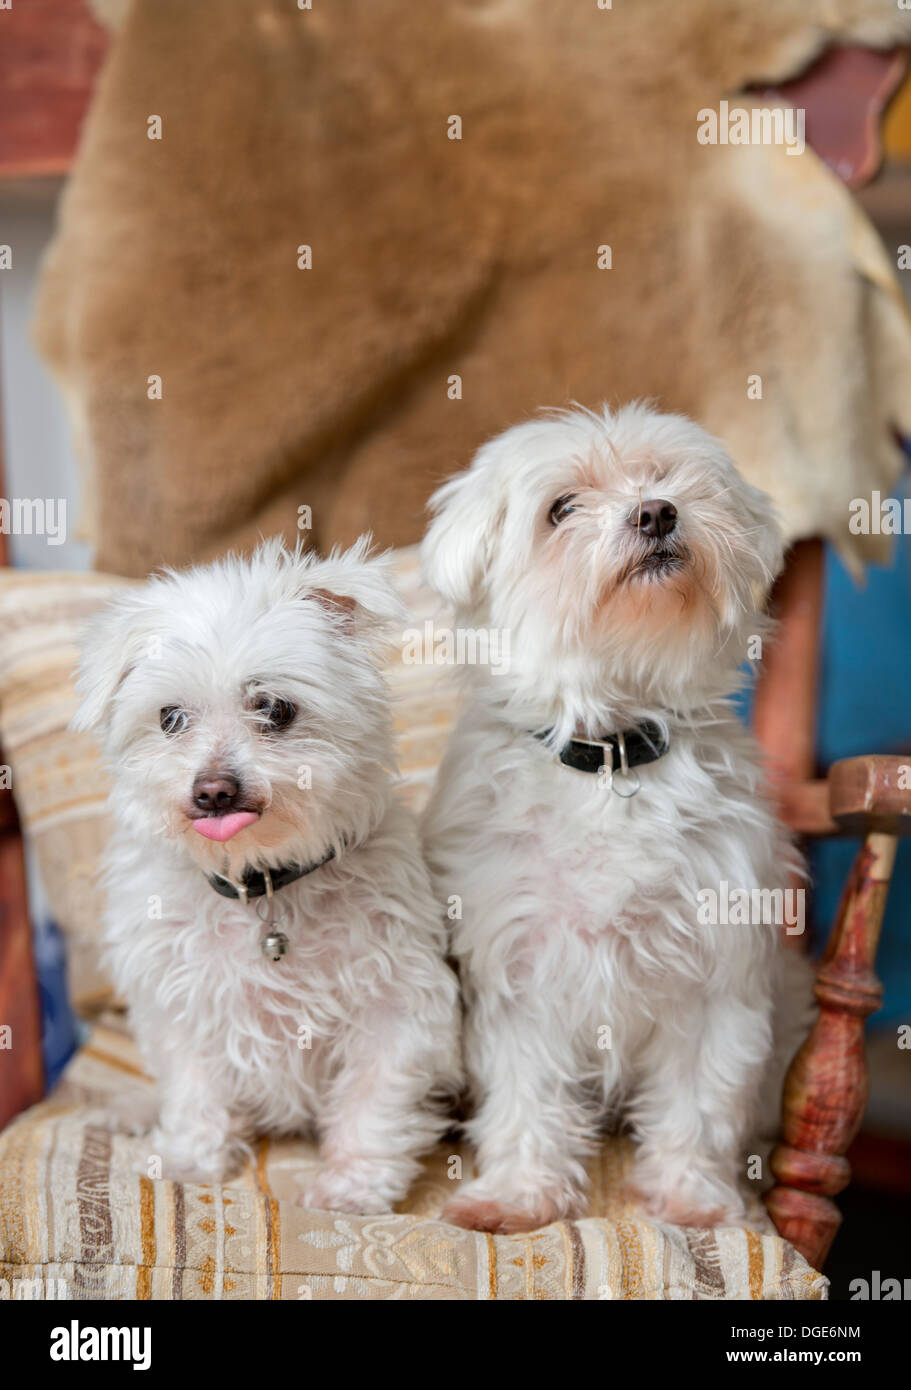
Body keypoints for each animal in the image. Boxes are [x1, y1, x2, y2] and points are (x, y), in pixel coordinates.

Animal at [74, 536, 464, 1212]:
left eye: (275, 708)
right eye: (170, 718)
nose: (213, 792)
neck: (260, 887)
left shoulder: (397, 1005)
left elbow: (372, 1103)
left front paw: (352, 1188)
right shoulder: (180, 1006)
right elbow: (196, 1092)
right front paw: (193, 1159)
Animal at [422, 405, 812, 1239]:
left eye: (668, 478)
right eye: (560, 508)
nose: (656, 513)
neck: (612, 757)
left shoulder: (715, 973)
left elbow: (700, 1102)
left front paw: (690, 1199)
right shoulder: (522, 970)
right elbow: (526, 1099)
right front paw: (520, 1194)